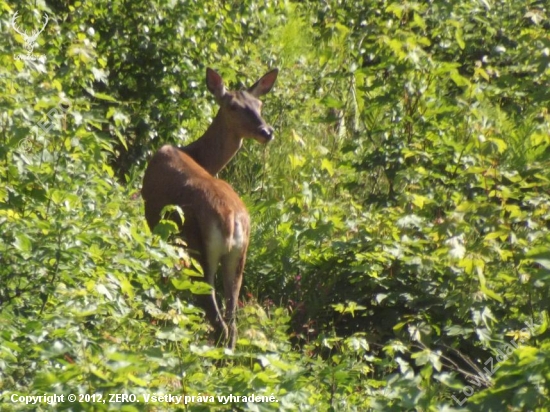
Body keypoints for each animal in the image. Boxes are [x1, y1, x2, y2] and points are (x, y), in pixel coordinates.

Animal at [142, 67, 280, 348]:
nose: (266, 131)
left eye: (259, 105)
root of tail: (231, 219)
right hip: (239, 255)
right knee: (232, 321)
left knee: (216, 316)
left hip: (198, 248)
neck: (199, 156)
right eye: (234, 106)